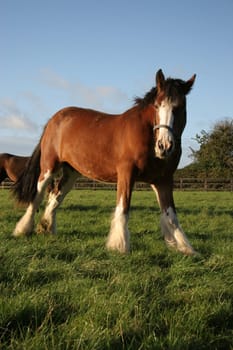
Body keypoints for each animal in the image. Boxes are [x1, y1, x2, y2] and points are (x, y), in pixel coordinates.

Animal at [11, 69, 196, 254]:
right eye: (157, 106)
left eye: (180, 107)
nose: (164, 146)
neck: (147, 136)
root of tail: (54, 119)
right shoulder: (126, 174)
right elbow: (123, 208)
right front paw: (119, 245)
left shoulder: (163, 179)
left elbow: (171, 216)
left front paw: (185, 248)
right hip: (49, 167)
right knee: (38, 195)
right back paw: (23, 229)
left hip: (71, 173)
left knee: (55, 195)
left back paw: (46, 228)